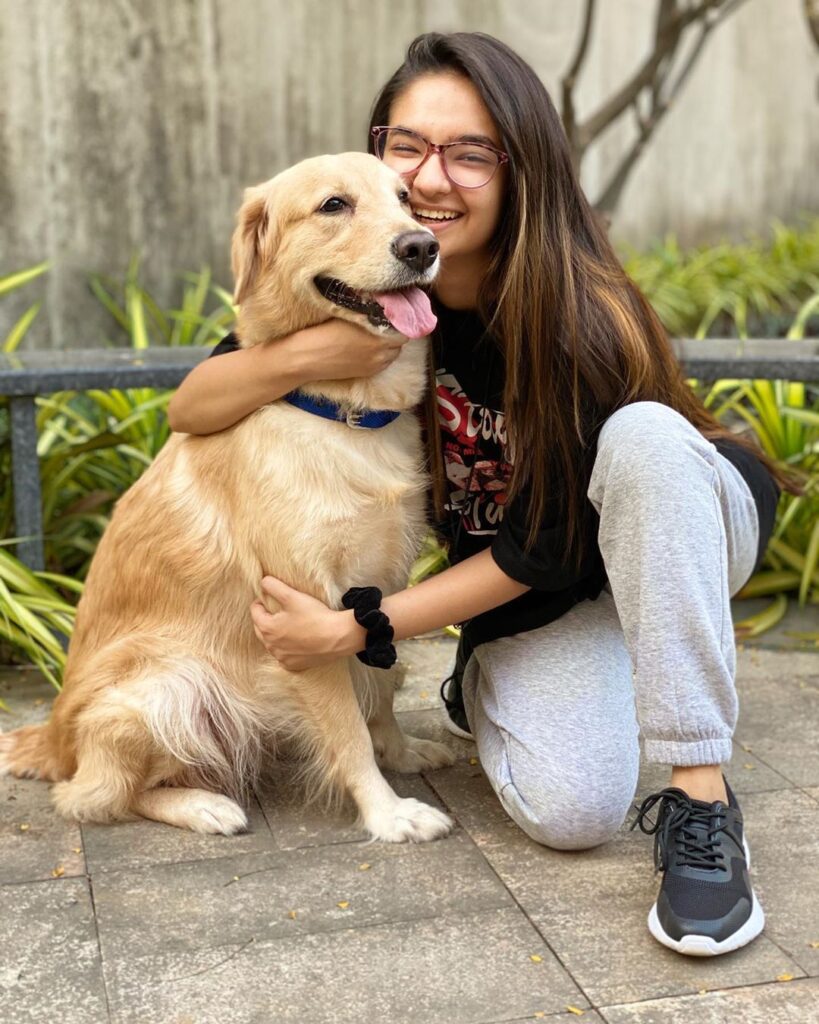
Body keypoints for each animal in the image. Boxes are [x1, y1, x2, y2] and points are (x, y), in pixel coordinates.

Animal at [1, 151, 454, 839]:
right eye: (333, 205)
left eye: (406, 199)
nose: (422, 245)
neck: (340, 411)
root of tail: (52, 736)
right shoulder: (304, 611)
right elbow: (347, 729)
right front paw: (386, 810)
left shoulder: (381, 587)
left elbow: (380, 685)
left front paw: (401, 753)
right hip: (166, 688)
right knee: (97, 795)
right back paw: (203, 805)